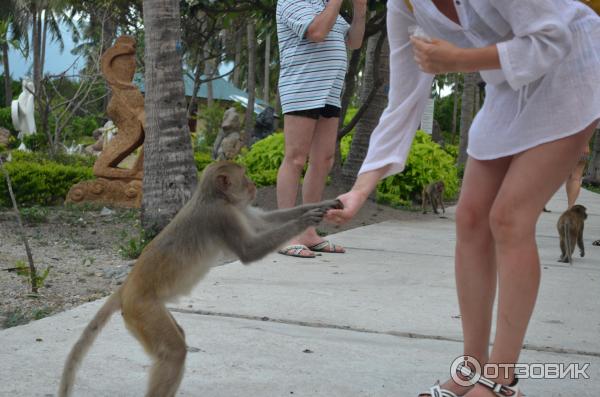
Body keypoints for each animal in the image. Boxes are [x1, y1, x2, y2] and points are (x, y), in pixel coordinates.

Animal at [59, 161, 344, 396]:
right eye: (245, 176)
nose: (253, 185)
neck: (213, 197)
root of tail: (126, 286)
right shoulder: (222, 215)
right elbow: (250, 251)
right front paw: (307, 219)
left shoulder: (236, 209)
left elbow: (266, 220)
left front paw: (326, 204)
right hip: (143, 309)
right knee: (174, 352)